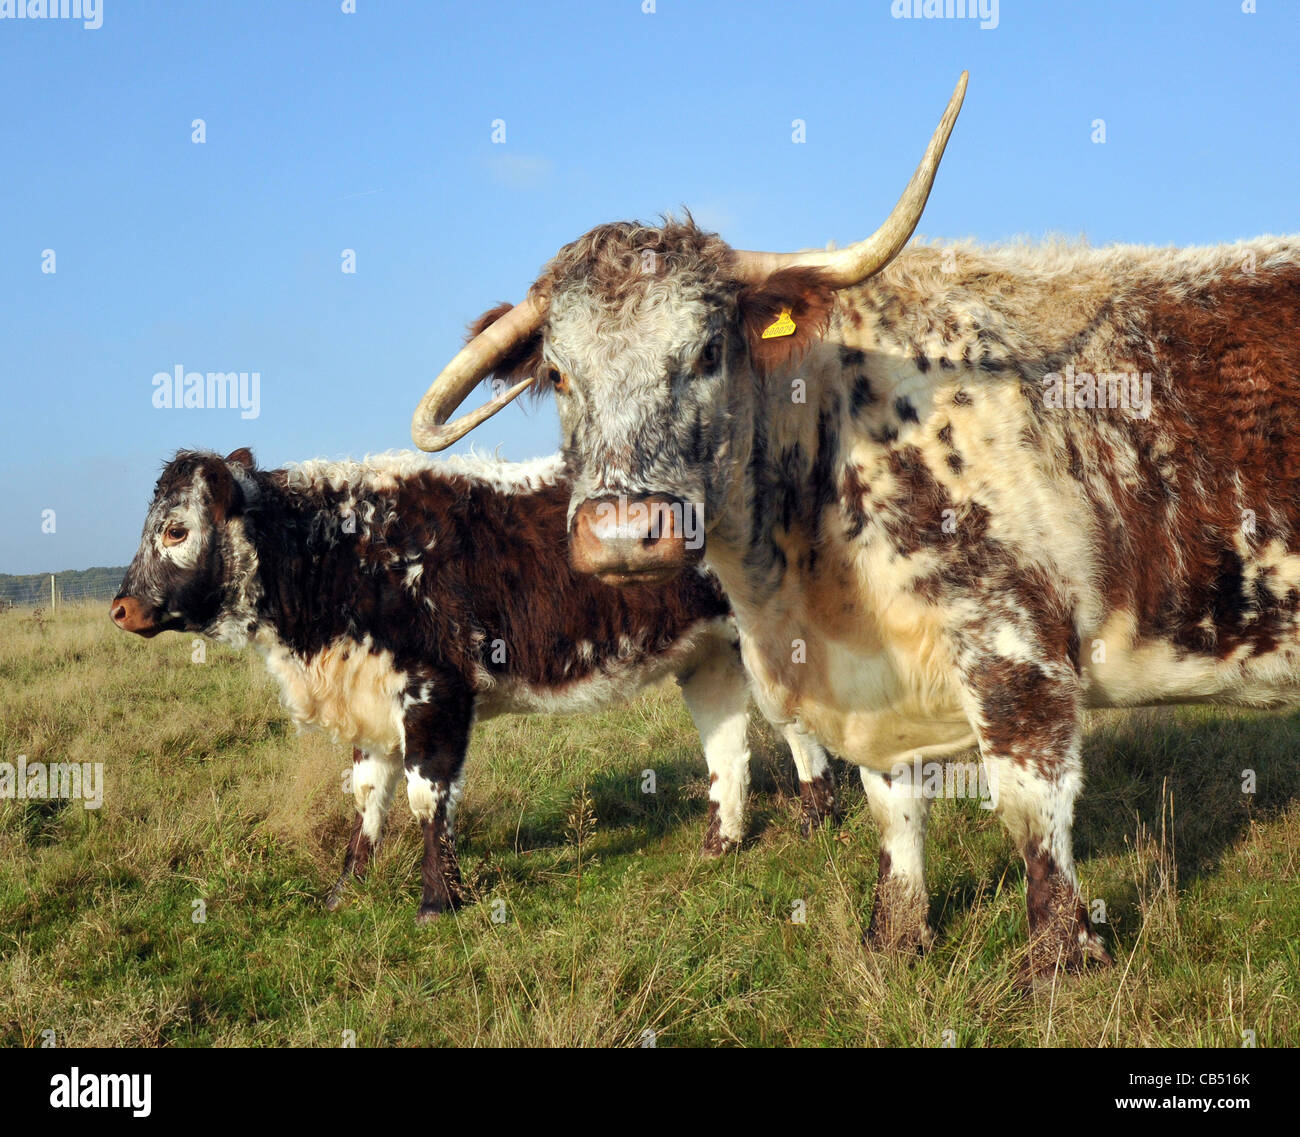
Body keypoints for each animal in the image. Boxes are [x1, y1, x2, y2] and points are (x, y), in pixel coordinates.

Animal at [111, 448, 836, 922]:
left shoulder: (435, 690)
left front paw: (438, 901)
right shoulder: (373, 698)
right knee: (729, 749)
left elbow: (426, 797)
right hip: (708, 652)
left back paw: (816, 821)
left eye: (176, 529)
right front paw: (344, 892)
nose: (120, 607)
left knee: (794, 724)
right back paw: (721, 845)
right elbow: (366, 797)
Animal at [412, 70, 1300, 984]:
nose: (625, 529)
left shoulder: (1018, 656)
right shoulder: (874, 691)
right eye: (558, 373)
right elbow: (891, 808)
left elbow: (1032, 814)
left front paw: (1058, 961)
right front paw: (896, 939)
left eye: (706, 351)